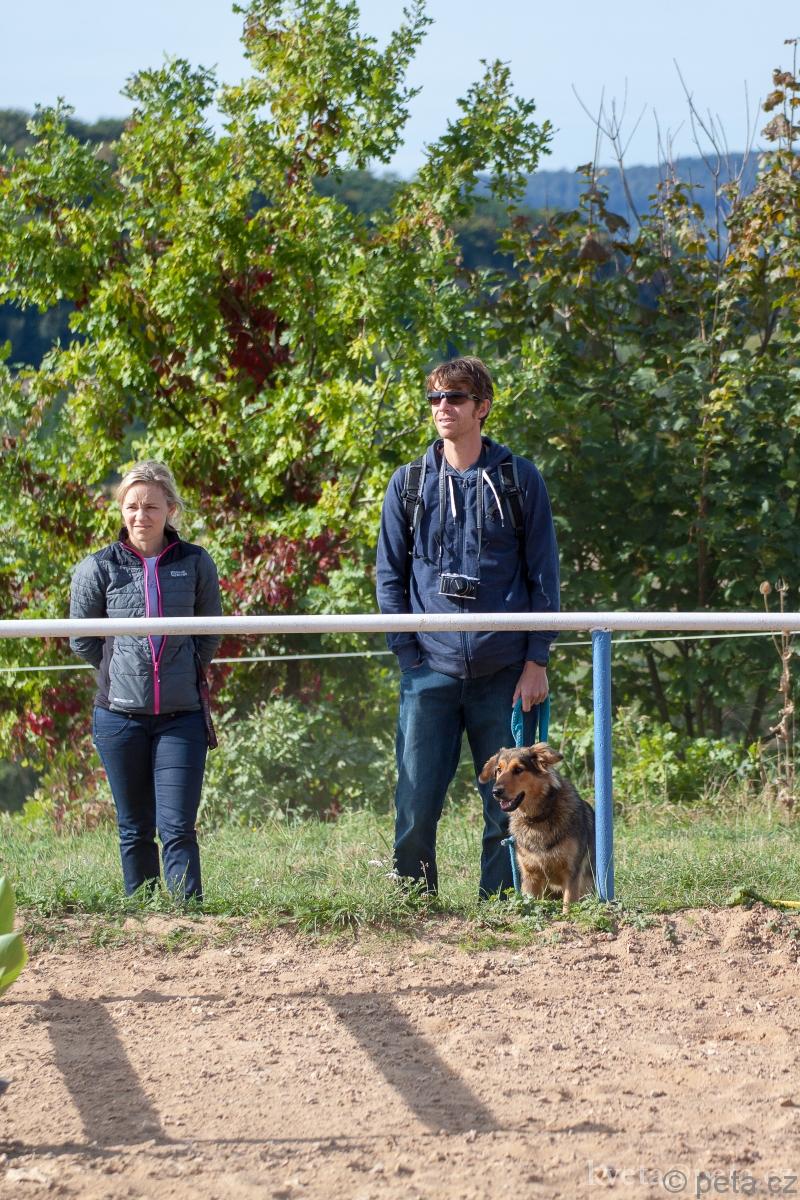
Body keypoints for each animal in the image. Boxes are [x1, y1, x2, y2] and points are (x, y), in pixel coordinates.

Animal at [479, 742, 596, 911]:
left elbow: (568, 905)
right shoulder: (530, 875)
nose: (495, 791)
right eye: (498, 770)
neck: (538, 819)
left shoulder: (571, 873)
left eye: (518, 770)